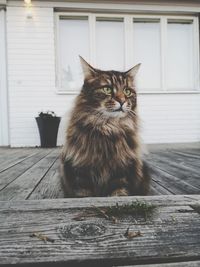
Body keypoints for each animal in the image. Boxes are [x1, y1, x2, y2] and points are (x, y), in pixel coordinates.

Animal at [60, 56, 151, 198]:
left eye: (127, 91)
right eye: (107, 89)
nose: (122, 101)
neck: (108, 128)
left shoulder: (121, 170)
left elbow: (118, 194)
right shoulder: (81, 171)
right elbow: (83, 196)